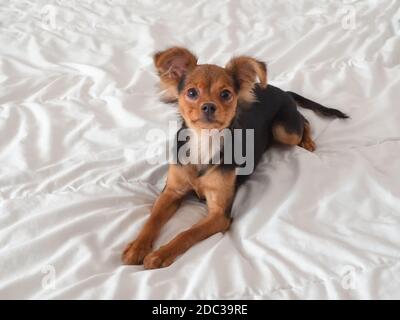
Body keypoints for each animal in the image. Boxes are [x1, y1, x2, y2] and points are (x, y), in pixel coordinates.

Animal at [121, 46, 346, 268]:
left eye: (226, 94)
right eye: (192, 93)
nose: (209, 106)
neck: (204, 141)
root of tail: (282, 91)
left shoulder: (219, 214)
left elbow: (187, 234)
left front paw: (160, 254)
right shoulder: (171, 192)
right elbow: (152, 219)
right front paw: (138, 247)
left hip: (284, 130)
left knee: (304, 120)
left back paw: (307, 141)